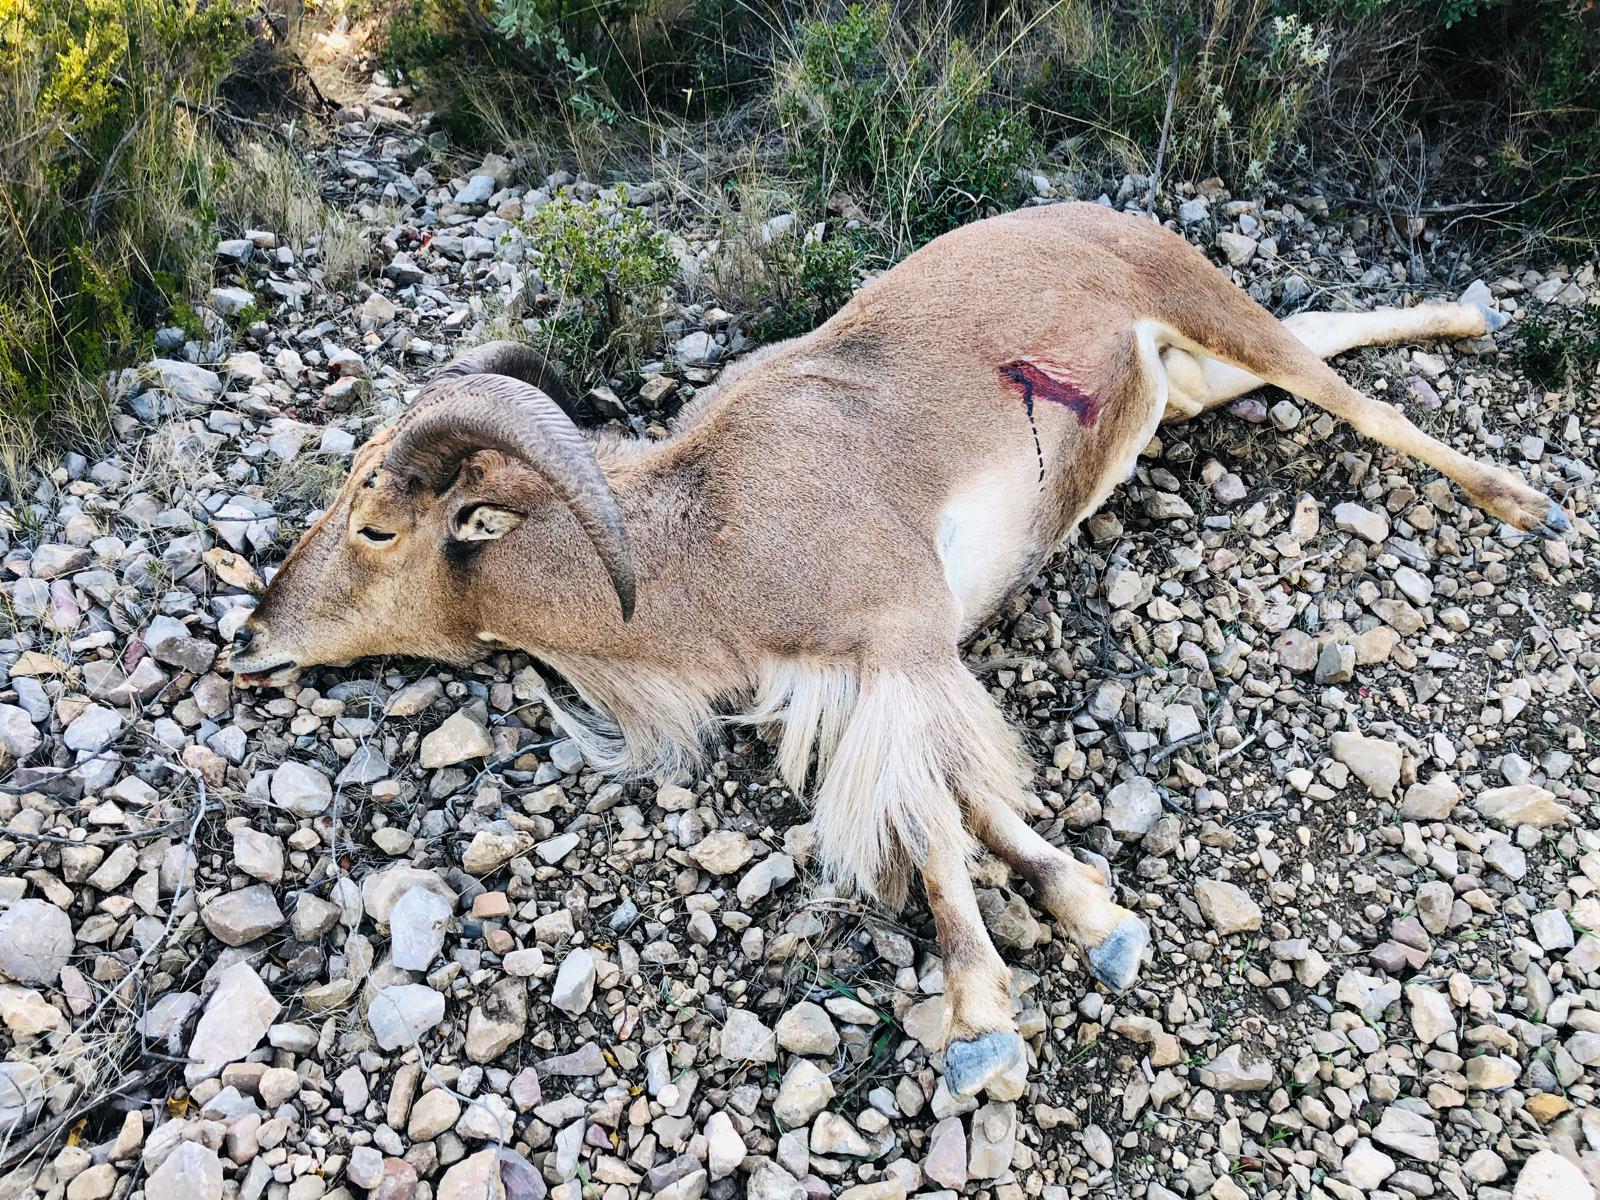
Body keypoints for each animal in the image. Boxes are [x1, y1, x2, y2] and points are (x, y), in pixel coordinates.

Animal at [230, 201, 1568, 1097]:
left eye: (378, 524)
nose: (253, 635)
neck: (709, 538)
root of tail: (1094, 205)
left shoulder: (902, 645)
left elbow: (928, 818)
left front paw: (981, 1018)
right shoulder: (845, 684)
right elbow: (964, 808)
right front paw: (1088, 912)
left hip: (1201, 303)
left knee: (1357, 401)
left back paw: (1522, 499)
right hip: (1185, 379)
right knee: (1329, 333)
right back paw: (1470, 309)